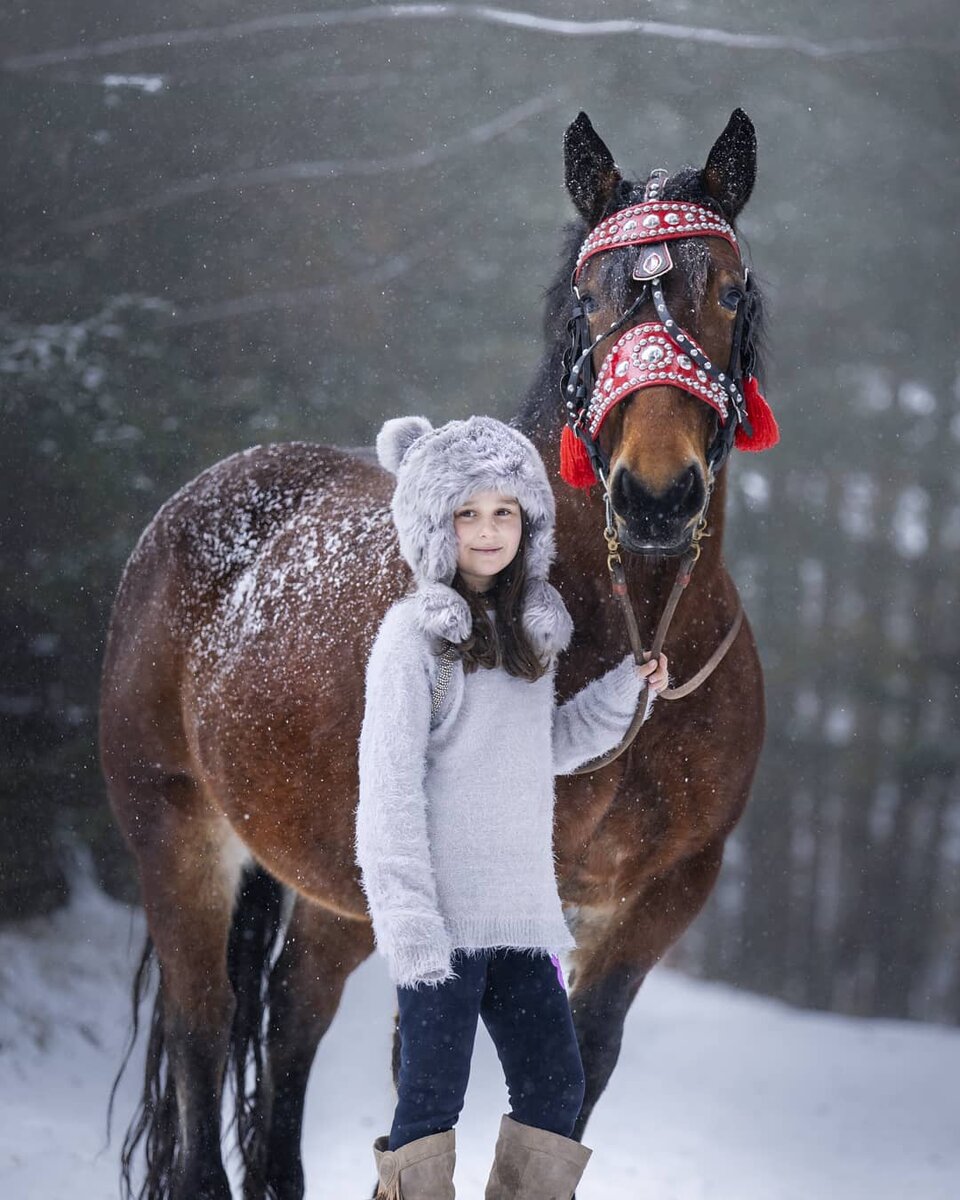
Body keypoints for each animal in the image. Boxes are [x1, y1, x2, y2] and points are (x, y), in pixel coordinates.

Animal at [101, 108, 768, 1195]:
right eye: (588, 299)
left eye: (728, 290)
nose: (655, 496)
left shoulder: (650, 909)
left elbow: (565, 1086)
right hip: (176, 837)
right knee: (206, 1042)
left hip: (340, 894)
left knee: (287, 1024)